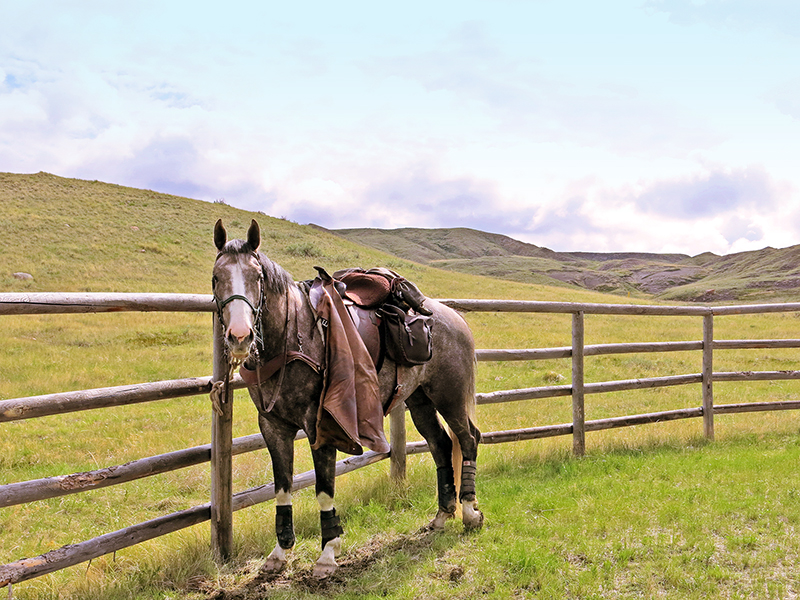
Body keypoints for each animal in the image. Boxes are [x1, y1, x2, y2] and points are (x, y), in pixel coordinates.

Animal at [211, 219, 482, 578]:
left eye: (257, 277)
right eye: (216, 277)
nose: (240, 337)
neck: (292, 337)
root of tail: (452, 317)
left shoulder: (321, 424)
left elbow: (324, 489)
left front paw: (328, 554)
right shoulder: (272, 426)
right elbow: (282, 487)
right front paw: (280, 553)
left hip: (449, 396)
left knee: (467, 439)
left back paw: (469, 511)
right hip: (419, 400)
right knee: (441, 444)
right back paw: (442, 515)